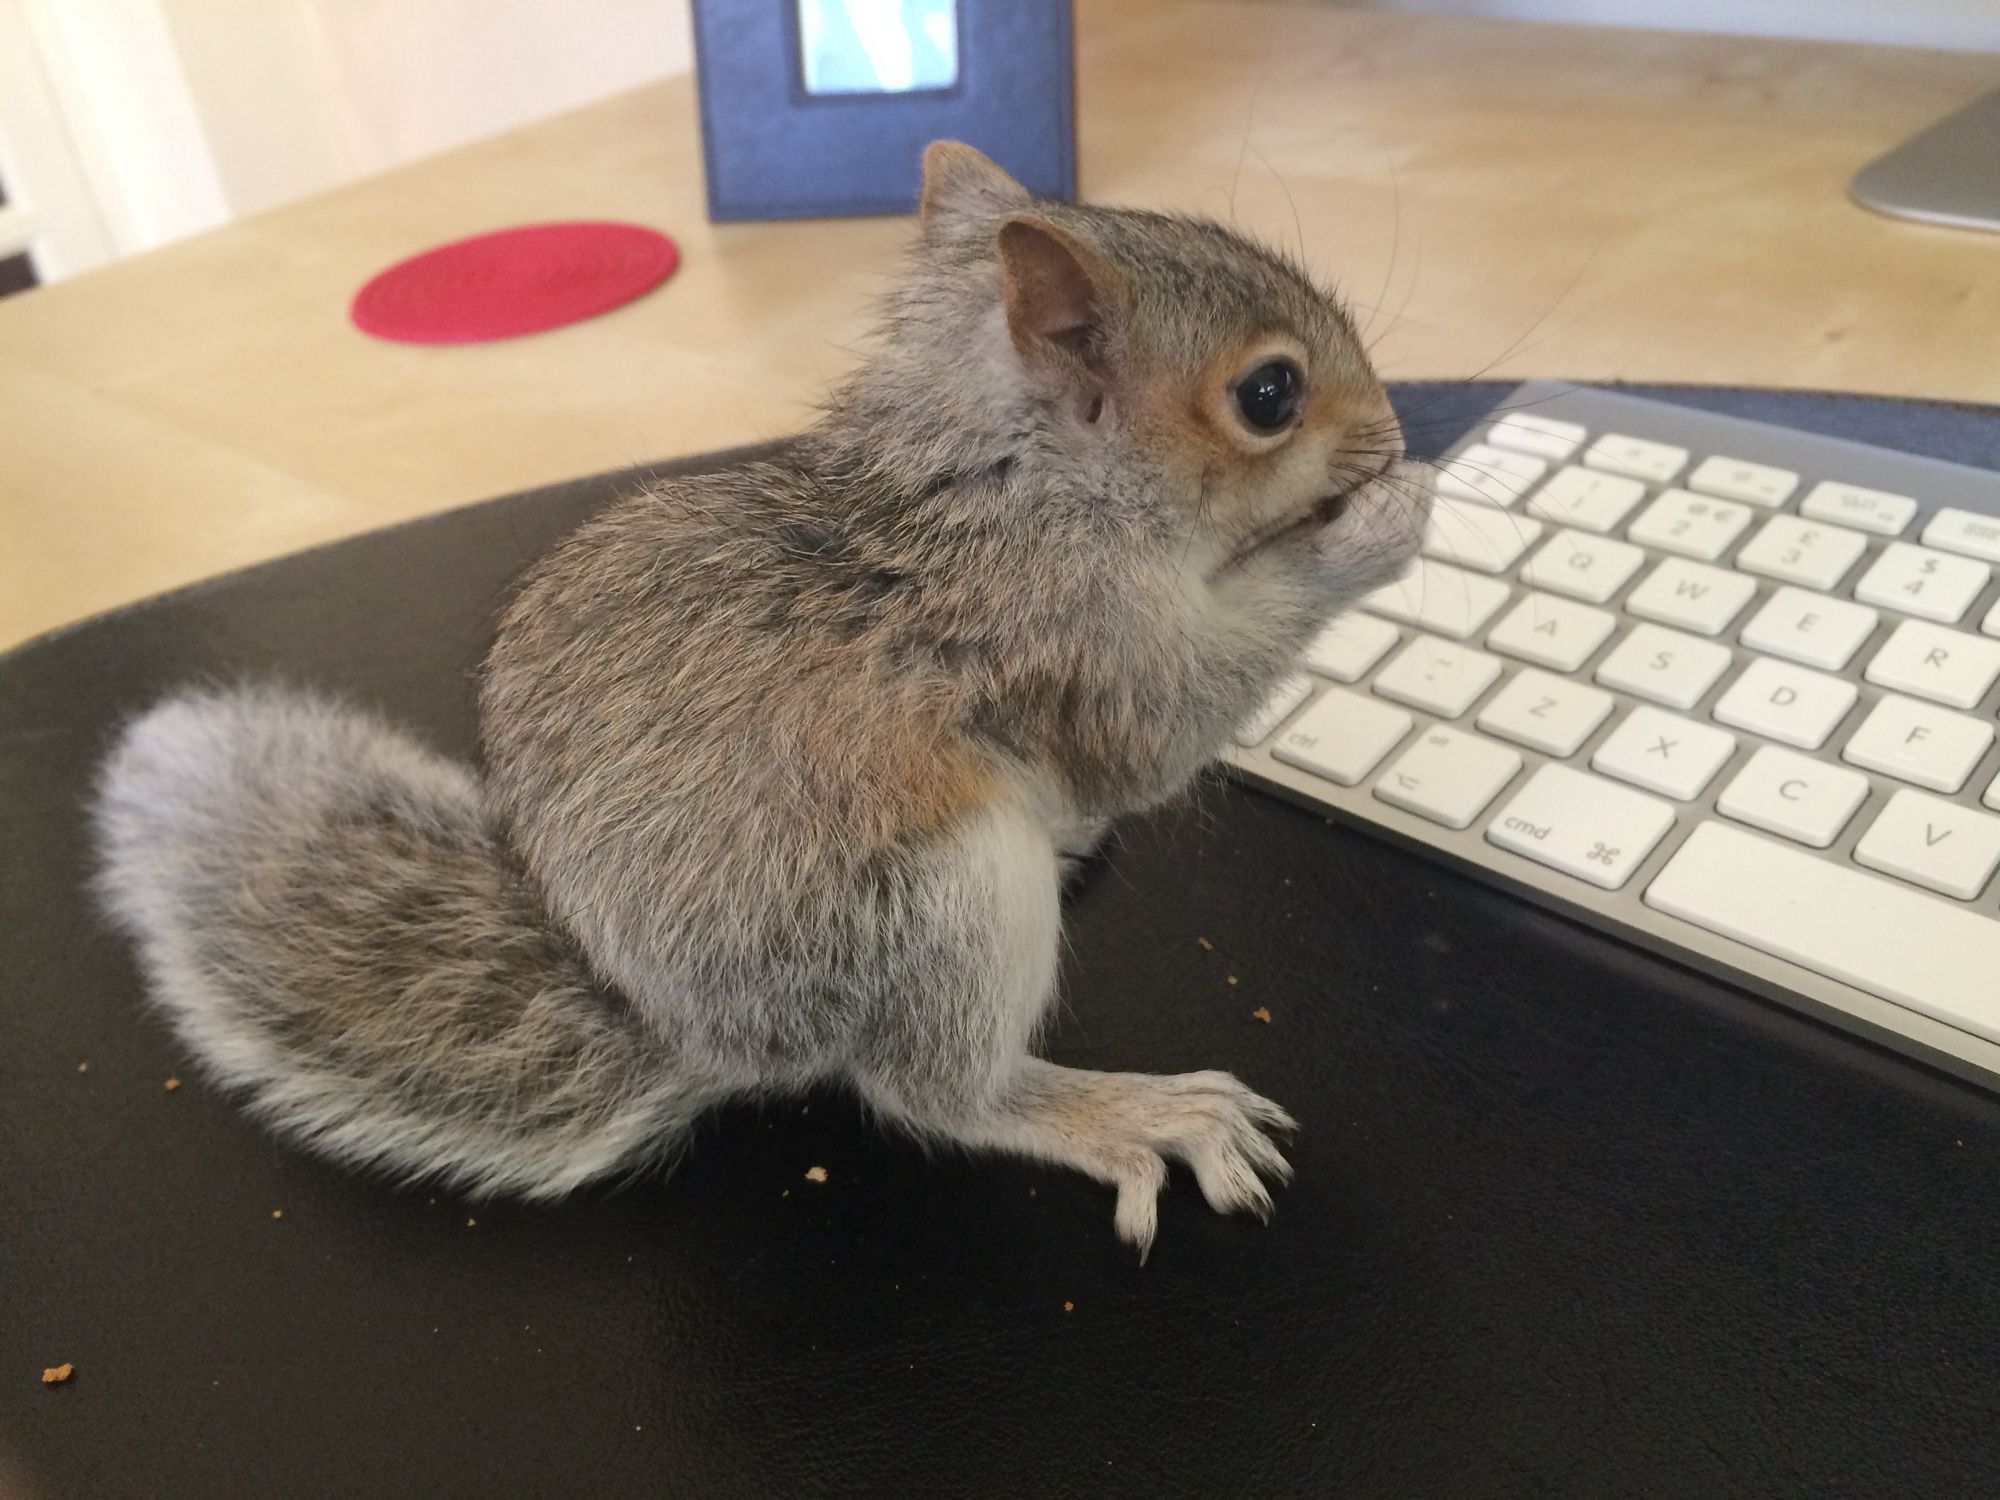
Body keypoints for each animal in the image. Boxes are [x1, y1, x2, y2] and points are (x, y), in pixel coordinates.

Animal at [97, 147, 1424, 1264]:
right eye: (1268, 394)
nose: (1395, 430)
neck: (1021, 486)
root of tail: (707, 1036)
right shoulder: (1060, 634)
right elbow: (1157, 728)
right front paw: (1376, 526)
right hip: (935, 903)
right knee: (934, 1091)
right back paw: (1120, 1111)